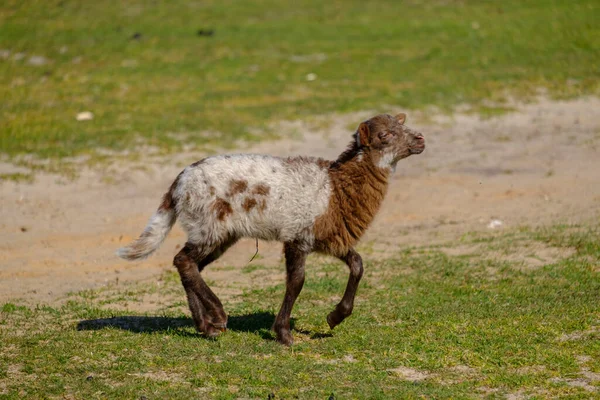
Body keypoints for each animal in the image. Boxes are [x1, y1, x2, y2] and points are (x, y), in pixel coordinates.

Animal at [117, 113, 424, 346]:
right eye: (385, 135)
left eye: (402, 126)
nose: (421, 139)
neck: (336, 189)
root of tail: (178, 183)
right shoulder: (298, 235)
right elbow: (297, 281)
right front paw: (284, 334)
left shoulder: (330, 234)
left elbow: (358, 265)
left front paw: (334, 317)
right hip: (209, 223)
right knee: (183, 260)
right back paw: (218, 315)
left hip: (219, 232)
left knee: (189, 265)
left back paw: (207, 326)